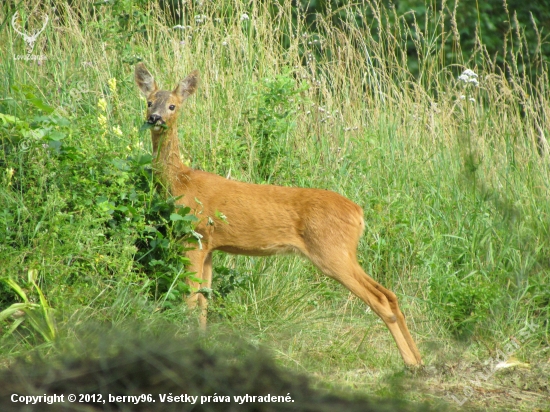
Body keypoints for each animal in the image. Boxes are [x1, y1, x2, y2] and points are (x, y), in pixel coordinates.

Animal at [136, 63, 424, 366]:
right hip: (343, 252)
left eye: (172, 105)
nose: (155, 118)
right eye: (149, 102)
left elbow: (191, 298)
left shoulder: (195, 236)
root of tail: (358, 212)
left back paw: (409, 361)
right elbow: (205, 298)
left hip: (330, 251)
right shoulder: (211, 246)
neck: (181, 182)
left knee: (378, 299)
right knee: (389, 294)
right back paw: (418, 360)